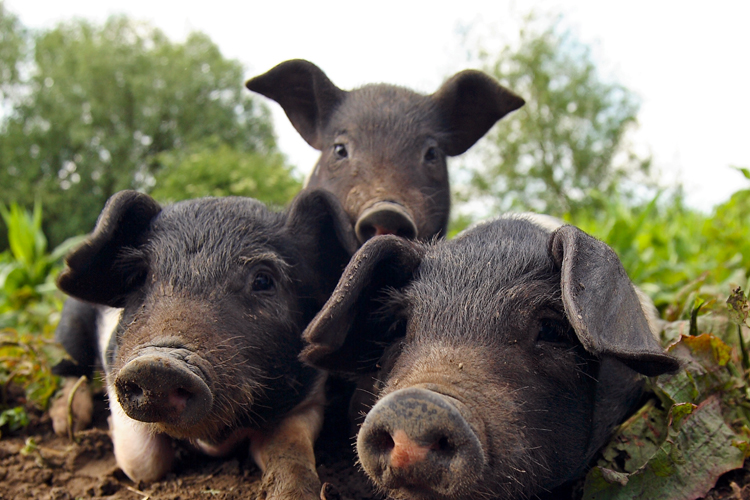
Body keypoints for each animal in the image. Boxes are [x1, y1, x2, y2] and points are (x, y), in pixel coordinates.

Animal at [53, 188, 357, 499]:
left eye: (263, 280)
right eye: (138, 277)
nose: (157, 367)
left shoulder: (309, 398)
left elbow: (290, 446)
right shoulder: (114, 368)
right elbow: (144, 463)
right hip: (70, 332)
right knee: (68, 370)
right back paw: (66, 423)